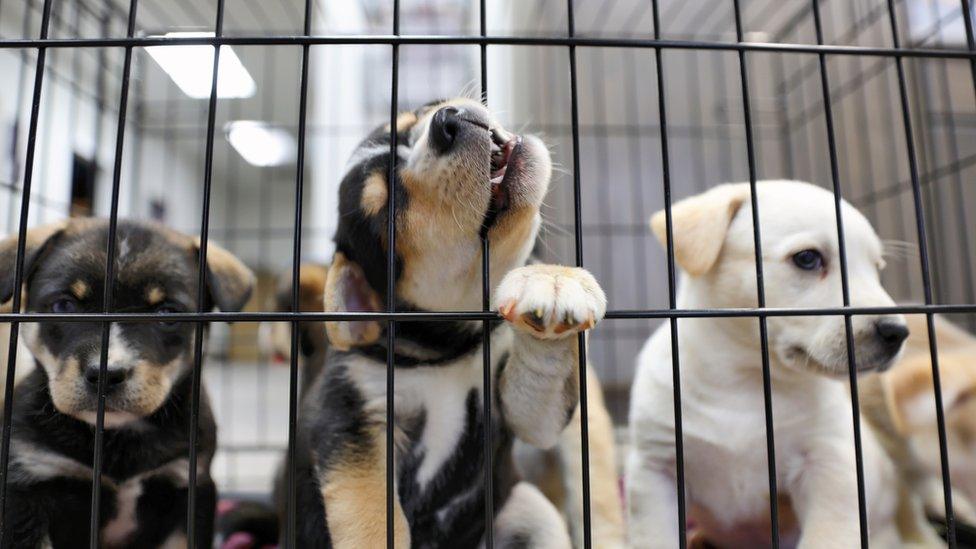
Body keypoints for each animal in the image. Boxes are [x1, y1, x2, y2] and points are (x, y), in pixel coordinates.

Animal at [0, 218, 255, 548]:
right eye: (65, 305)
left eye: (167, 312)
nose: (106, 374)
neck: (116, 434)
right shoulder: (28, 486)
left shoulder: (188, 486)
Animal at [290, 99, 608, 548]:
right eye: (388, 207)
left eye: (415, 120)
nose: (447, 119)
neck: (452, 347)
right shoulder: (352, 418)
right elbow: (373, 520)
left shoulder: (524, 414)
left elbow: (539, 390)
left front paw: (551, 284)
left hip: (527, 508)